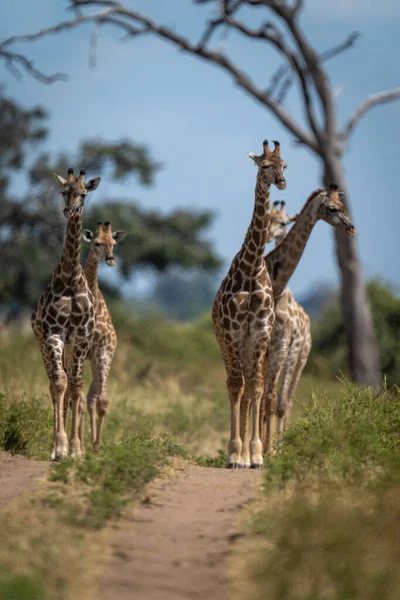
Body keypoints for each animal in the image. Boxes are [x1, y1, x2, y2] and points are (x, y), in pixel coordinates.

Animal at [262, 183, 356, 454]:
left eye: (342, 205)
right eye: (332, 208)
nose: (351, 228)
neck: (279, 287)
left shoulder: (284, 346)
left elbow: (274, 400)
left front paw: (270, 450)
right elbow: (263, 397)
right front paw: (264, 449)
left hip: (301, 356)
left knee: (285, 400)